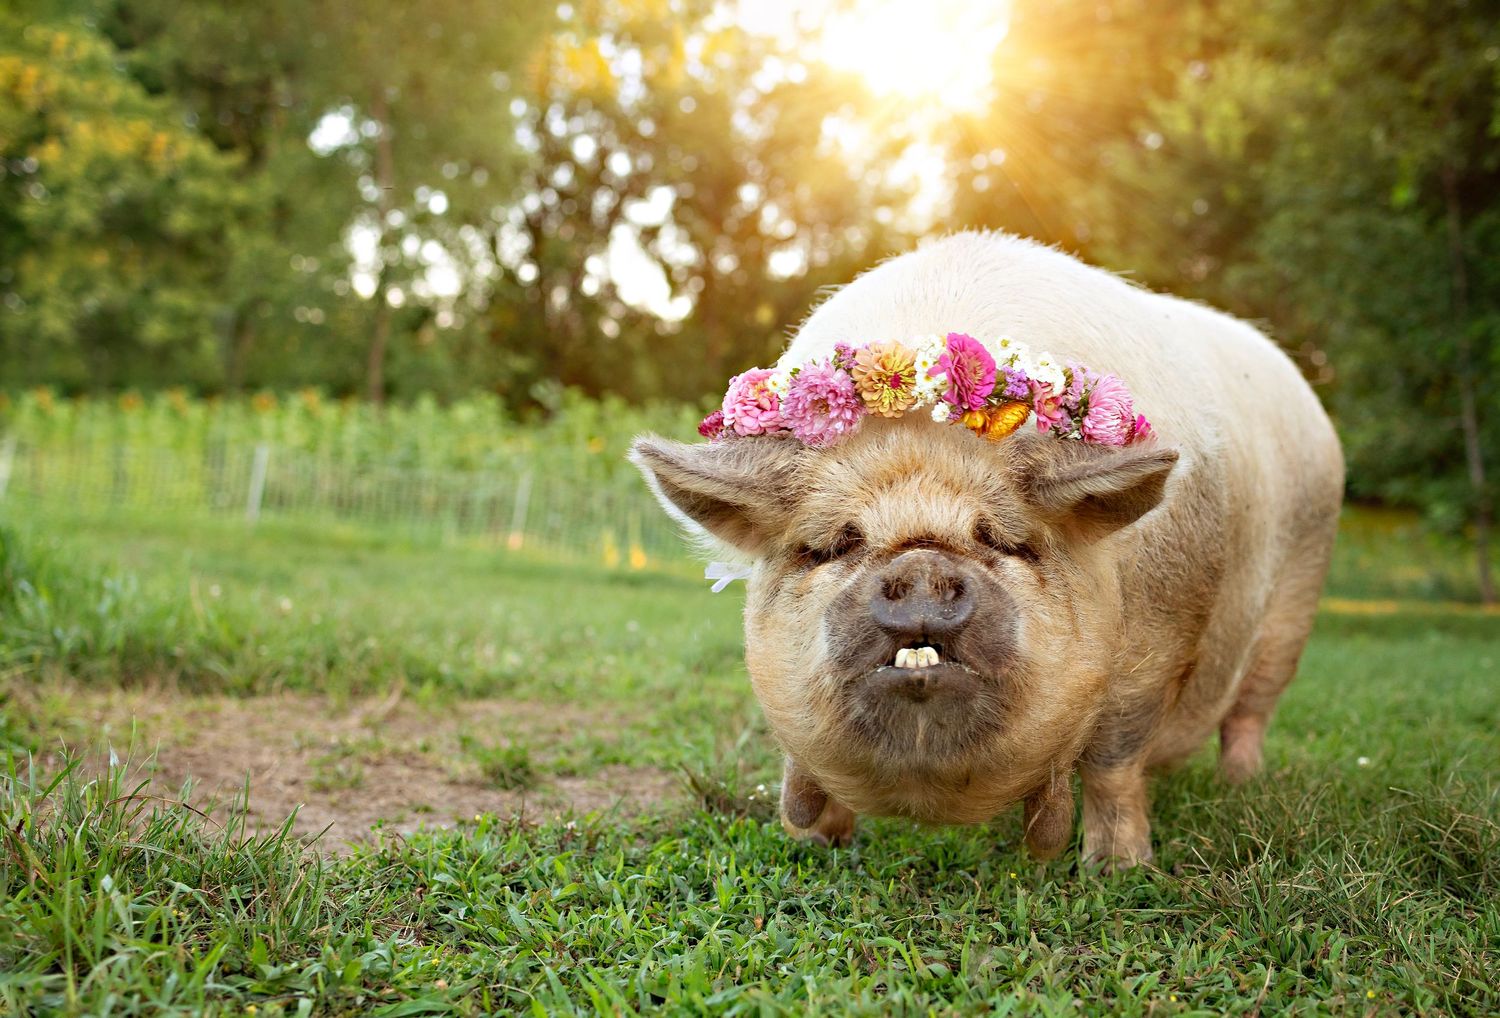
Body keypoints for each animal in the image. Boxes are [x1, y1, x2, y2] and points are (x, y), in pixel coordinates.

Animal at [631, 232, 1343, 868]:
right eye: (833, 544)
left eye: (1004, 540)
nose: (920, 566)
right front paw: (814, 845)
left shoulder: (1158, 640)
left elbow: (1115, 760)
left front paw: (1117, 870)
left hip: (1300, 588)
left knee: (1251, 710)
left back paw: (1239, 785)